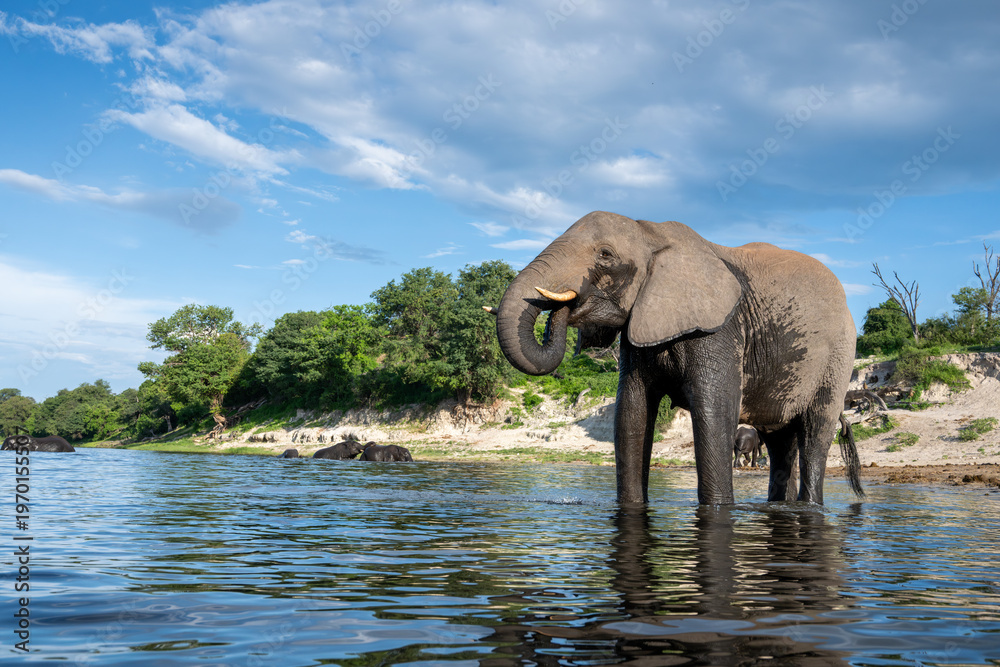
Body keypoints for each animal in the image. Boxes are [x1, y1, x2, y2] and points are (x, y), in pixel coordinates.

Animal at [492, 210, 863, 505]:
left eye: (605, 254)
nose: (565, 307)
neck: (651, 233)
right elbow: (631, 415)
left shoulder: (720, 330)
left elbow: (714, 414)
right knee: (780, 441)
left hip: (838, 356)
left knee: (815, 433)